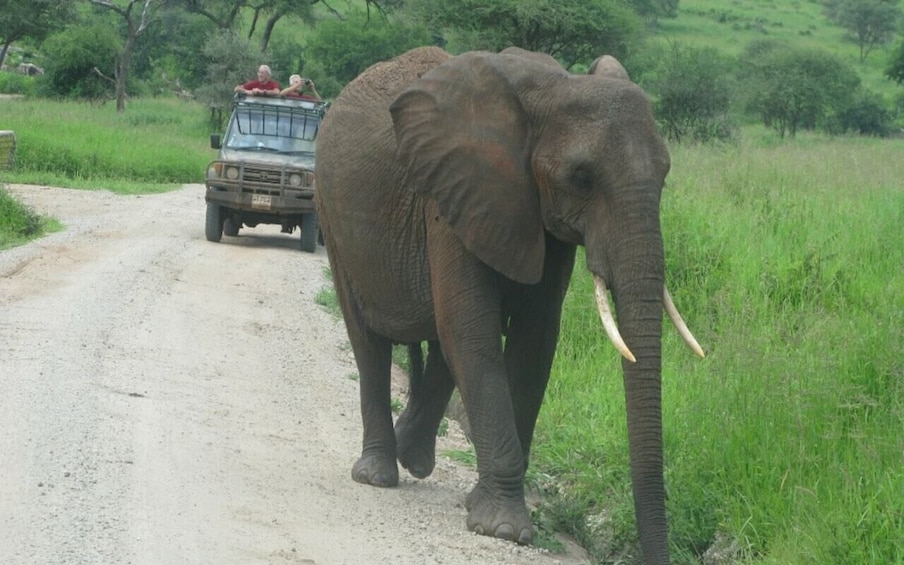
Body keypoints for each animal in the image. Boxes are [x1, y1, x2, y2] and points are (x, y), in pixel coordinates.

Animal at [314, 46, 704, 560]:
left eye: (665, 175)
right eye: (581, 177)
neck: (555, 88)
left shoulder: (537, 213)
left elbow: (534, 338)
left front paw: (486, 509)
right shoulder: (454, 193)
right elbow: (474, 332)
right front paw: (502, 528)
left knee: (439, 346)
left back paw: (413, 459)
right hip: (331, 214)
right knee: (369, 340)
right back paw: (378, 474)